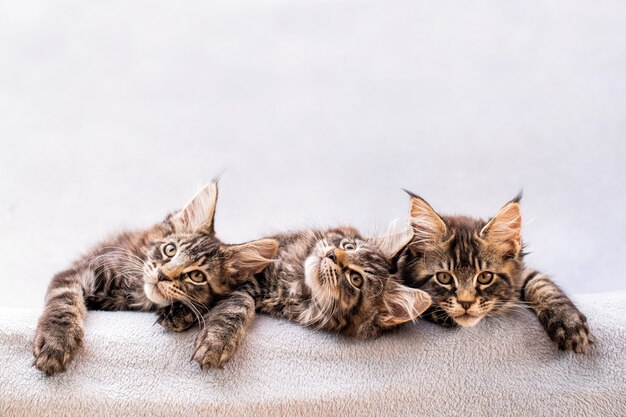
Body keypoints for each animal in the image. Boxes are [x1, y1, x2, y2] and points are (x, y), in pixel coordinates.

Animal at [33, 181, 276, 374]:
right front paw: (56, 343)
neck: (135, 292)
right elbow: (64, 304)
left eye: (197, 276)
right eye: (170, 250)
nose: (162, 275)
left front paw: (179, 313)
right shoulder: (77, 274)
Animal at [163, 224, 432, 368]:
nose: (332, 254)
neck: (295, 282)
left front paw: (214, 344)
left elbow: (233, 306)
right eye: (348, 246)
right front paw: (180, 312)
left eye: (356, 280)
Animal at [394, 191, 588, 352]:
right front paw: (437, 312)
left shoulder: (524, 274)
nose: (466, 303)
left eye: (485, 277)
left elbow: (544, 286)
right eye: (444, 277)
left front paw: (569, 324)